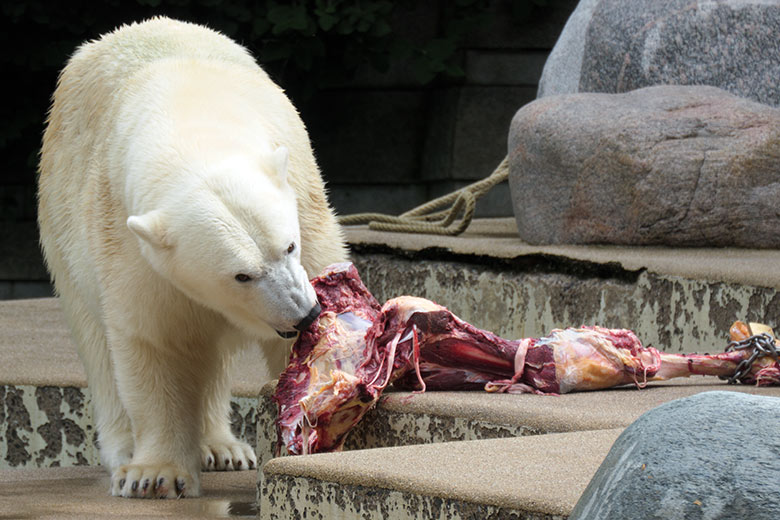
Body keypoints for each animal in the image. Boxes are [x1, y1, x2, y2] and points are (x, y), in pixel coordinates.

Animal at [37, 18, 348, 500]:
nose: (304, 313)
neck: (194, 115)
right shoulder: (132, 244)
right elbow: (156, 340)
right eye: (241, 275)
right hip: (60, 220)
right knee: (96, 342)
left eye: (289, 247)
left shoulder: (304, 198)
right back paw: (127, 453)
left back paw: (223, 448)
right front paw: (152, 475)